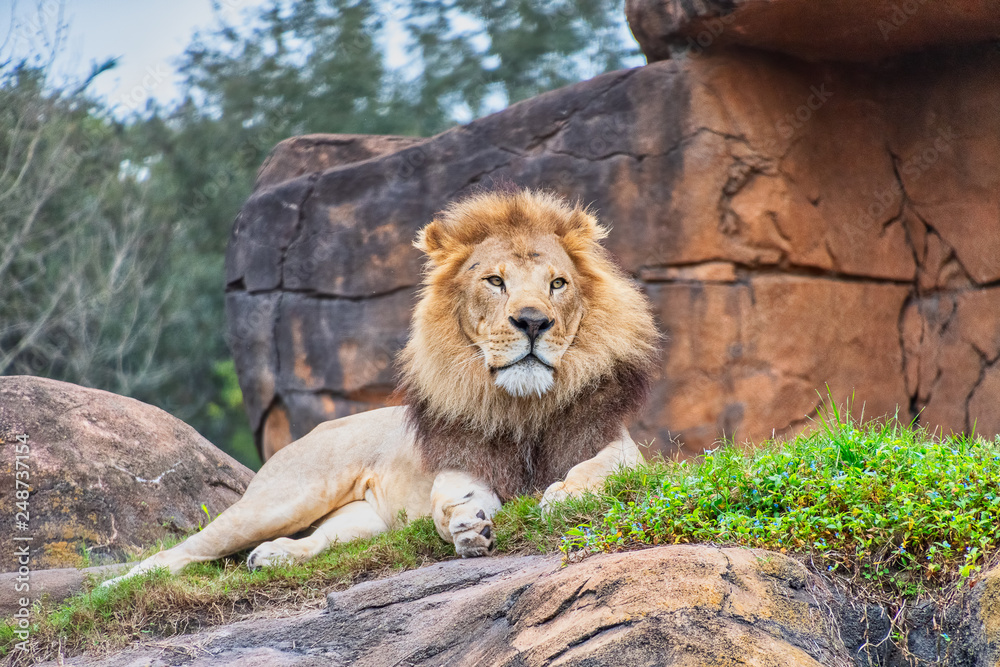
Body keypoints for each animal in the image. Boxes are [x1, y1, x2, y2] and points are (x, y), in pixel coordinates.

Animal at [105, 189, 657, 585]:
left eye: (557, 284)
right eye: (495, 281)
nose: (533, 321)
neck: (522, 407)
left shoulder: (619, 446)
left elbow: (601, 468)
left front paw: (564, 495)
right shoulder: (458, 462)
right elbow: (450, 500)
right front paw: (465, 526)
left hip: (361, 520)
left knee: (324, 539)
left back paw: (276, 556)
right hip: (283, 498)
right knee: (183, 550)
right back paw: (117, 586)